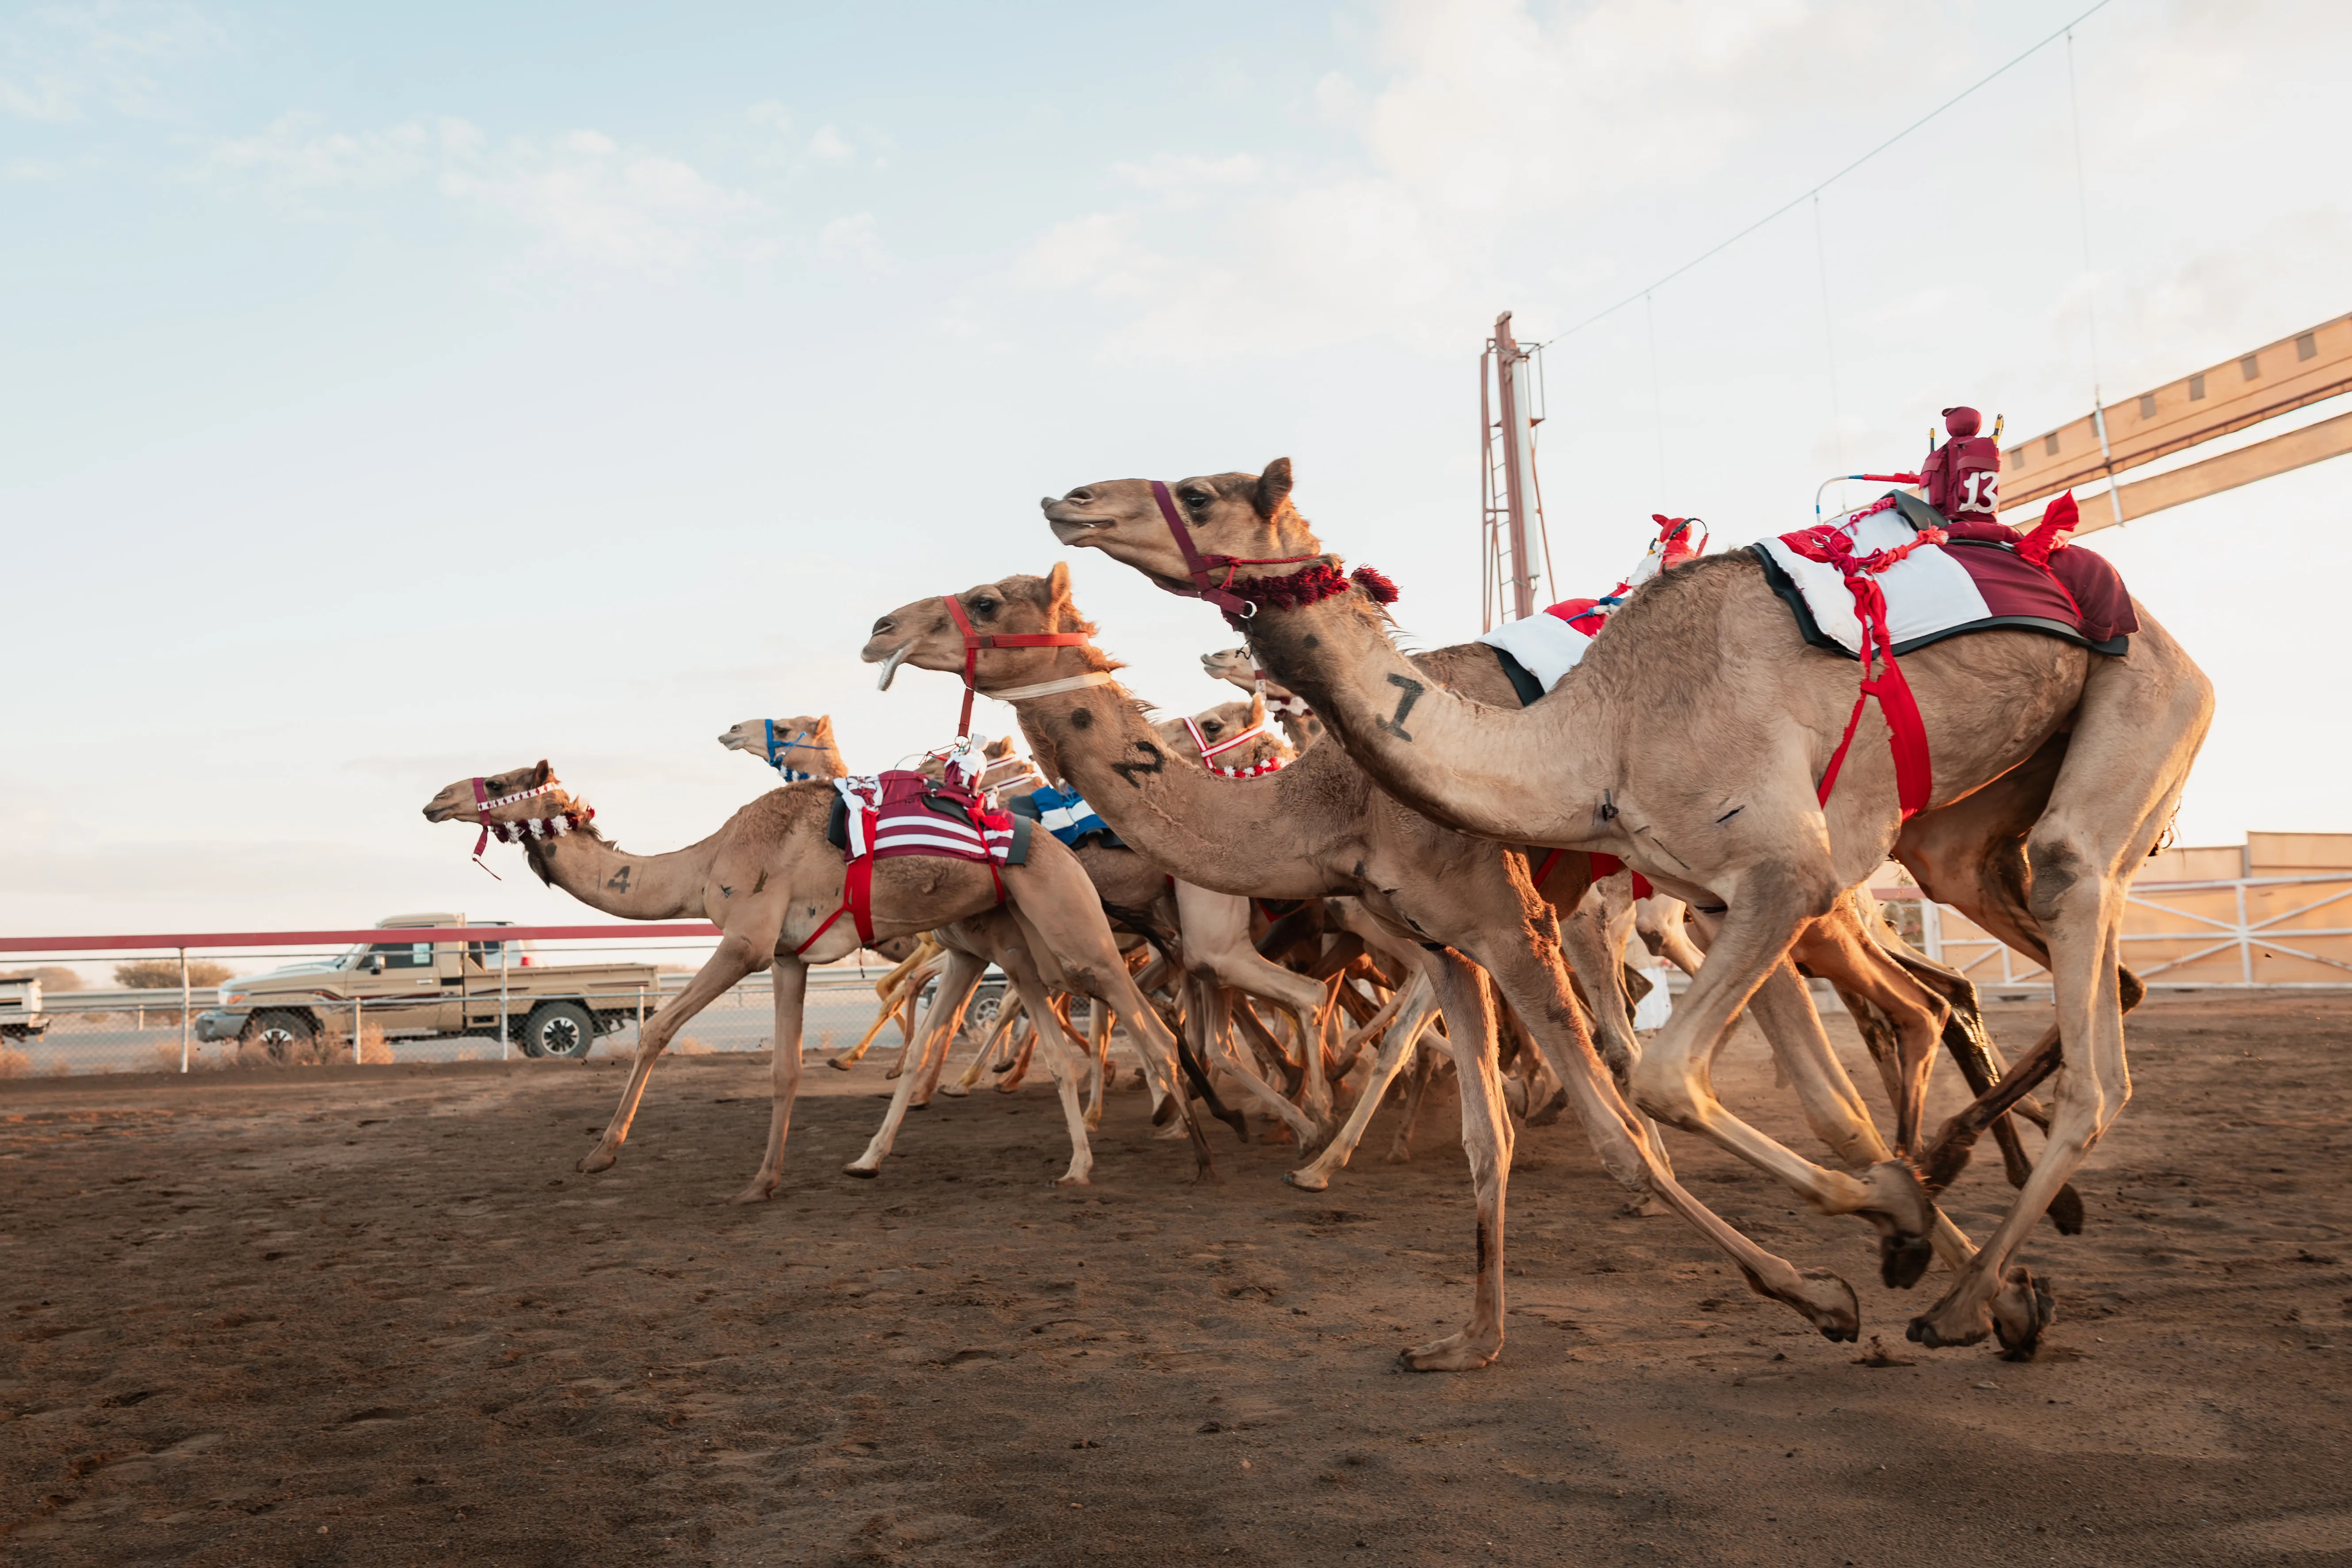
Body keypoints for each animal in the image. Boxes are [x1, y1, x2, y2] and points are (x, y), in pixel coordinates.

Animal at [421, 761, 1217, 1198]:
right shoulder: (786, 956)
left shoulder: (744, 943)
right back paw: (1077, 1164)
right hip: (1007, 933)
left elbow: (658, 1028)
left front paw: (600, 1154)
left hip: (1069, 926)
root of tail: (1057, 845)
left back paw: (1194, 1148)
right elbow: (784, 1069)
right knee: (1066, 1039)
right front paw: (763, 1181)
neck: (701, 866)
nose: (434, 801)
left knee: (1146, 1023)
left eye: (499, 780)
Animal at [863, 566, 1883, 1370]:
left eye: (985, 599)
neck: (1333, 799)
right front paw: (1469, 1329)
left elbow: (1610, 1128)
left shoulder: (1504, 920)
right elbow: (1476, 1105)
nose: (880, 625)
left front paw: (1818, 1294)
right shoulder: (1427, 934)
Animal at [1044, 459, 2211, 1352]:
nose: (1072, 499)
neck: (1589, 736)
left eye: (1198, 493)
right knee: (2033, 974)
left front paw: (1885, 1244)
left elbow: (1646, 1077)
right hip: (1951, 843)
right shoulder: (1715, 893)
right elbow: (1808, 1106)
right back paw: (1976, 1208)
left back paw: (1964, 1288)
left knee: (2065, 995)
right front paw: (1905, 1225)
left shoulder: (1757, 876)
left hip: (2142, 709)